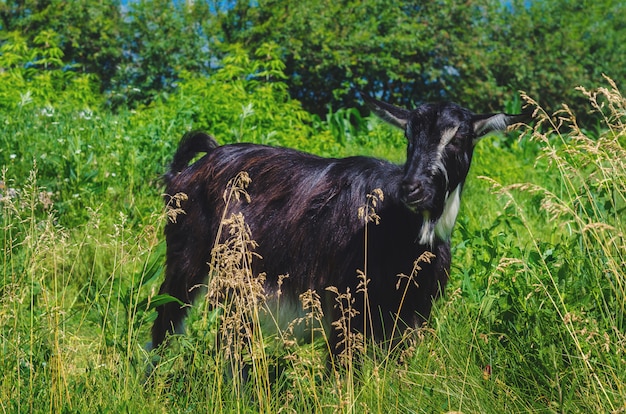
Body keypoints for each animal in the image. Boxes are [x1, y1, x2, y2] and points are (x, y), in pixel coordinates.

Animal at [152, 94, 528, 356]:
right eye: (408, 138)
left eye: (458, 139)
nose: (412, 188)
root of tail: (187, 170)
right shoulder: (347, 302)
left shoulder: (412, 312)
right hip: (187, 256)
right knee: (165, 321)